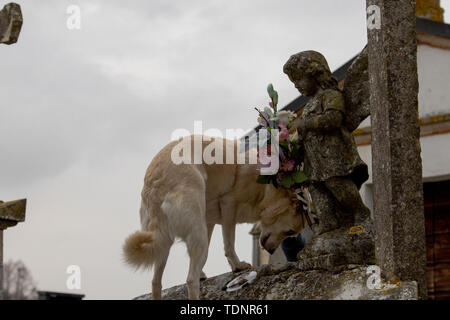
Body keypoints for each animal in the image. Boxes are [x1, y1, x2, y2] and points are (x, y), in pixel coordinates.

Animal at [123, 136, 306, 300]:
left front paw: (213, 271)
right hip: (196, 235)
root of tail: (156, 183)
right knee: (190, 280)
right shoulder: (228, 206)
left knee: (156, 283)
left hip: (164, 244)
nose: (271, 252)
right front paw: (238, 266)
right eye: (289, 232)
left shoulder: (209, 222)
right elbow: (229, 244)